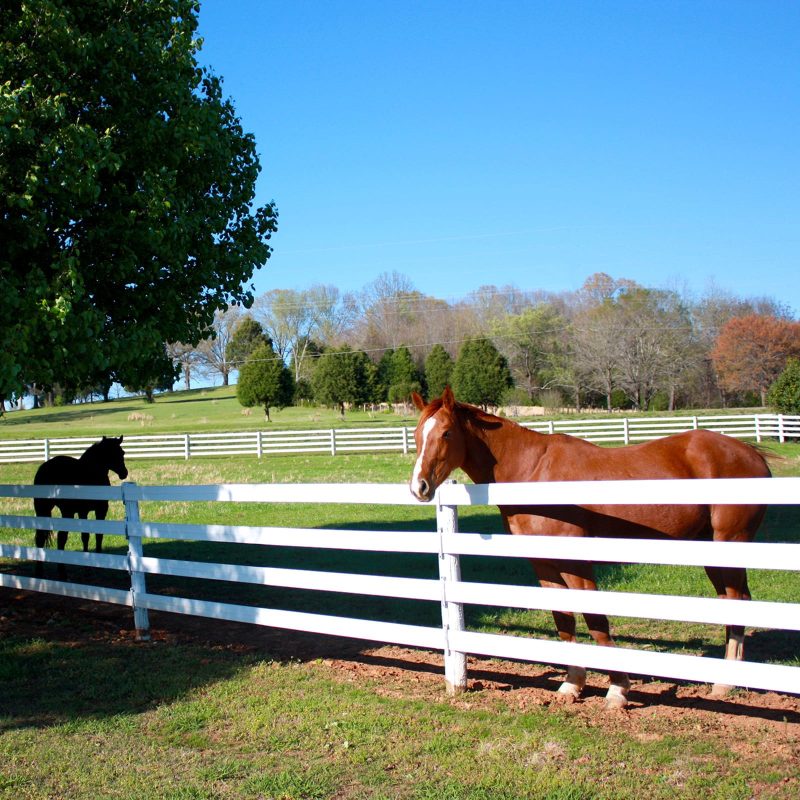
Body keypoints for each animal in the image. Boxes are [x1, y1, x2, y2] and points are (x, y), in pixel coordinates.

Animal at [33, 434, 128, 580]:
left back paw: (41, 571)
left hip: (47, 510)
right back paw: (61, 572)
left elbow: (90, 536)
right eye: (112, 453)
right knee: (60, 537)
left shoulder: (87, 511)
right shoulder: (96, 510)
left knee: (42, 538)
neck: (90, 473)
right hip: (66, 511)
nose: (124, 473)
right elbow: (93, 535)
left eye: (122, 453)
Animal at [410, 388, 772, 708]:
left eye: (446, 433)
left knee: (736, 603)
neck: (532, 471)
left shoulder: (575, 561)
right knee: (732, 601)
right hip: (710, 549)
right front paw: (571, 685)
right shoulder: (543, 563)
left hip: (729, 543)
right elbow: (564, 621)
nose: (419, 487)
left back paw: (724, 684)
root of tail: (751, 453)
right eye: (416, 435)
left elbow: (596, 620)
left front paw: (618, 690)